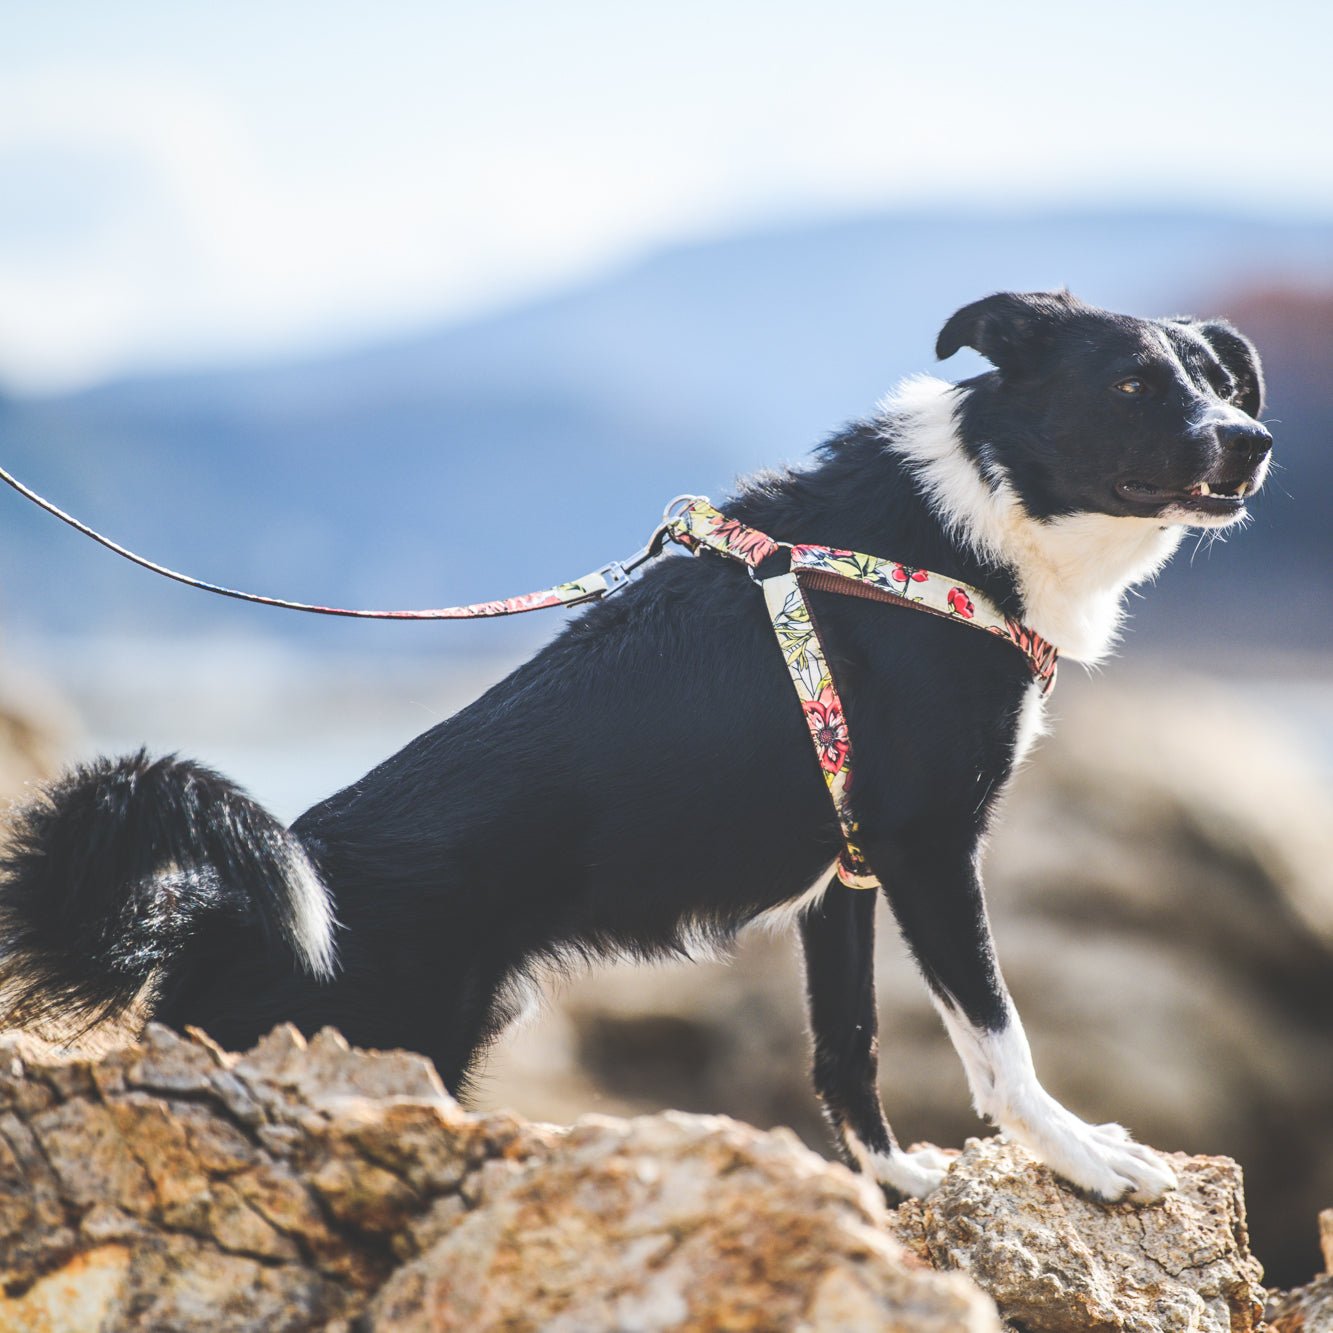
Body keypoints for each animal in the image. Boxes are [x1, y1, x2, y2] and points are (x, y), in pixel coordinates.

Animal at [0, 291, 1269, 1210]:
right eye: (1131, 381)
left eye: (1216, 380)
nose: (1253, 441)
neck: (972, 518)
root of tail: (225, 909)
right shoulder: (926, 846)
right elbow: (1000, 1040)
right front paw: (1084, 1155)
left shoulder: (848, 874)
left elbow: (847, 1046)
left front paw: (894, 1181)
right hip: (390, 1037)